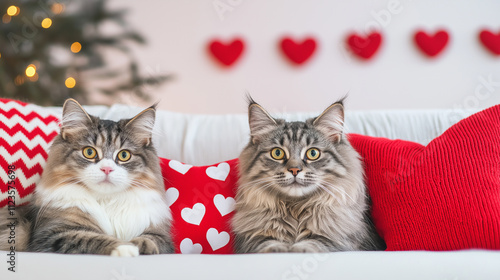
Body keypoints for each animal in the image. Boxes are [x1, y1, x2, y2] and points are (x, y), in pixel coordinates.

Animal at [0, 99, 173, 258]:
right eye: (89, 152)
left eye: (124, 155)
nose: (107, 169)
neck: (106, 200)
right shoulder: (52, 233)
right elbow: (91, 237)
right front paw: (125, 248)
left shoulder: (162, 236)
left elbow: (151, 239)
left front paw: (139, 245)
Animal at [232, 97, 384, 254]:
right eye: (277, 153)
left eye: (313, 153)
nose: (294, 169)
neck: (295, 210)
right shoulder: (252, 239)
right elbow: (268, 244)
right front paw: (279, 250)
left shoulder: (343, 239)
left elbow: (315, 243)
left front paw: (298, 249)